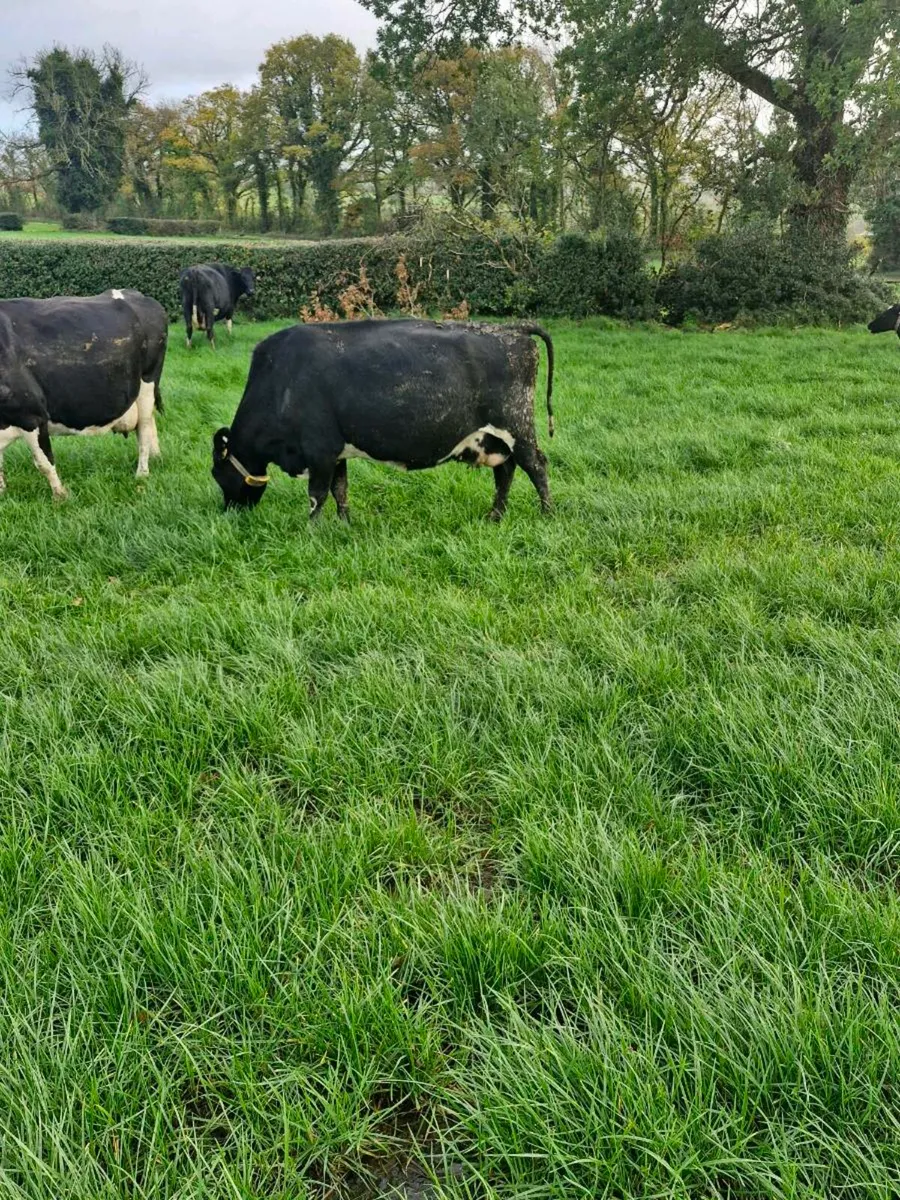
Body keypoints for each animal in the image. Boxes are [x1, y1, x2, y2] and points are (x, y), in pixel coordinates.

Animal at [0, 289, 167, 499]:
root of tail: (140, 296)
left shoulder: (32, 415)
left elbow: (44, 462)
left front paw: (61, 496)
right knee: (150, 423)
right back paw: (156, 457)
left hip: (147, 382)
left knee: (143, 428)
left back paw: (142, 473)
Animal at [211, 318, 554, 522]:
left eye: (217, 474)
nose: (228, 514)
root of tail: (513, 329)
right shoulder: (336, 451)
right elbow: (340, 489)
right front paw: (344, 524)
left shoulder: (319, 450)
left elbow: (317, 496)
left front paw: (312, 532)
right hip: (494, 438)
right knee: (505, 472)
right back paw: (495, 516)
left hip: (517, 424)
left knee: (536, 466)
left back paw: (547, 514)